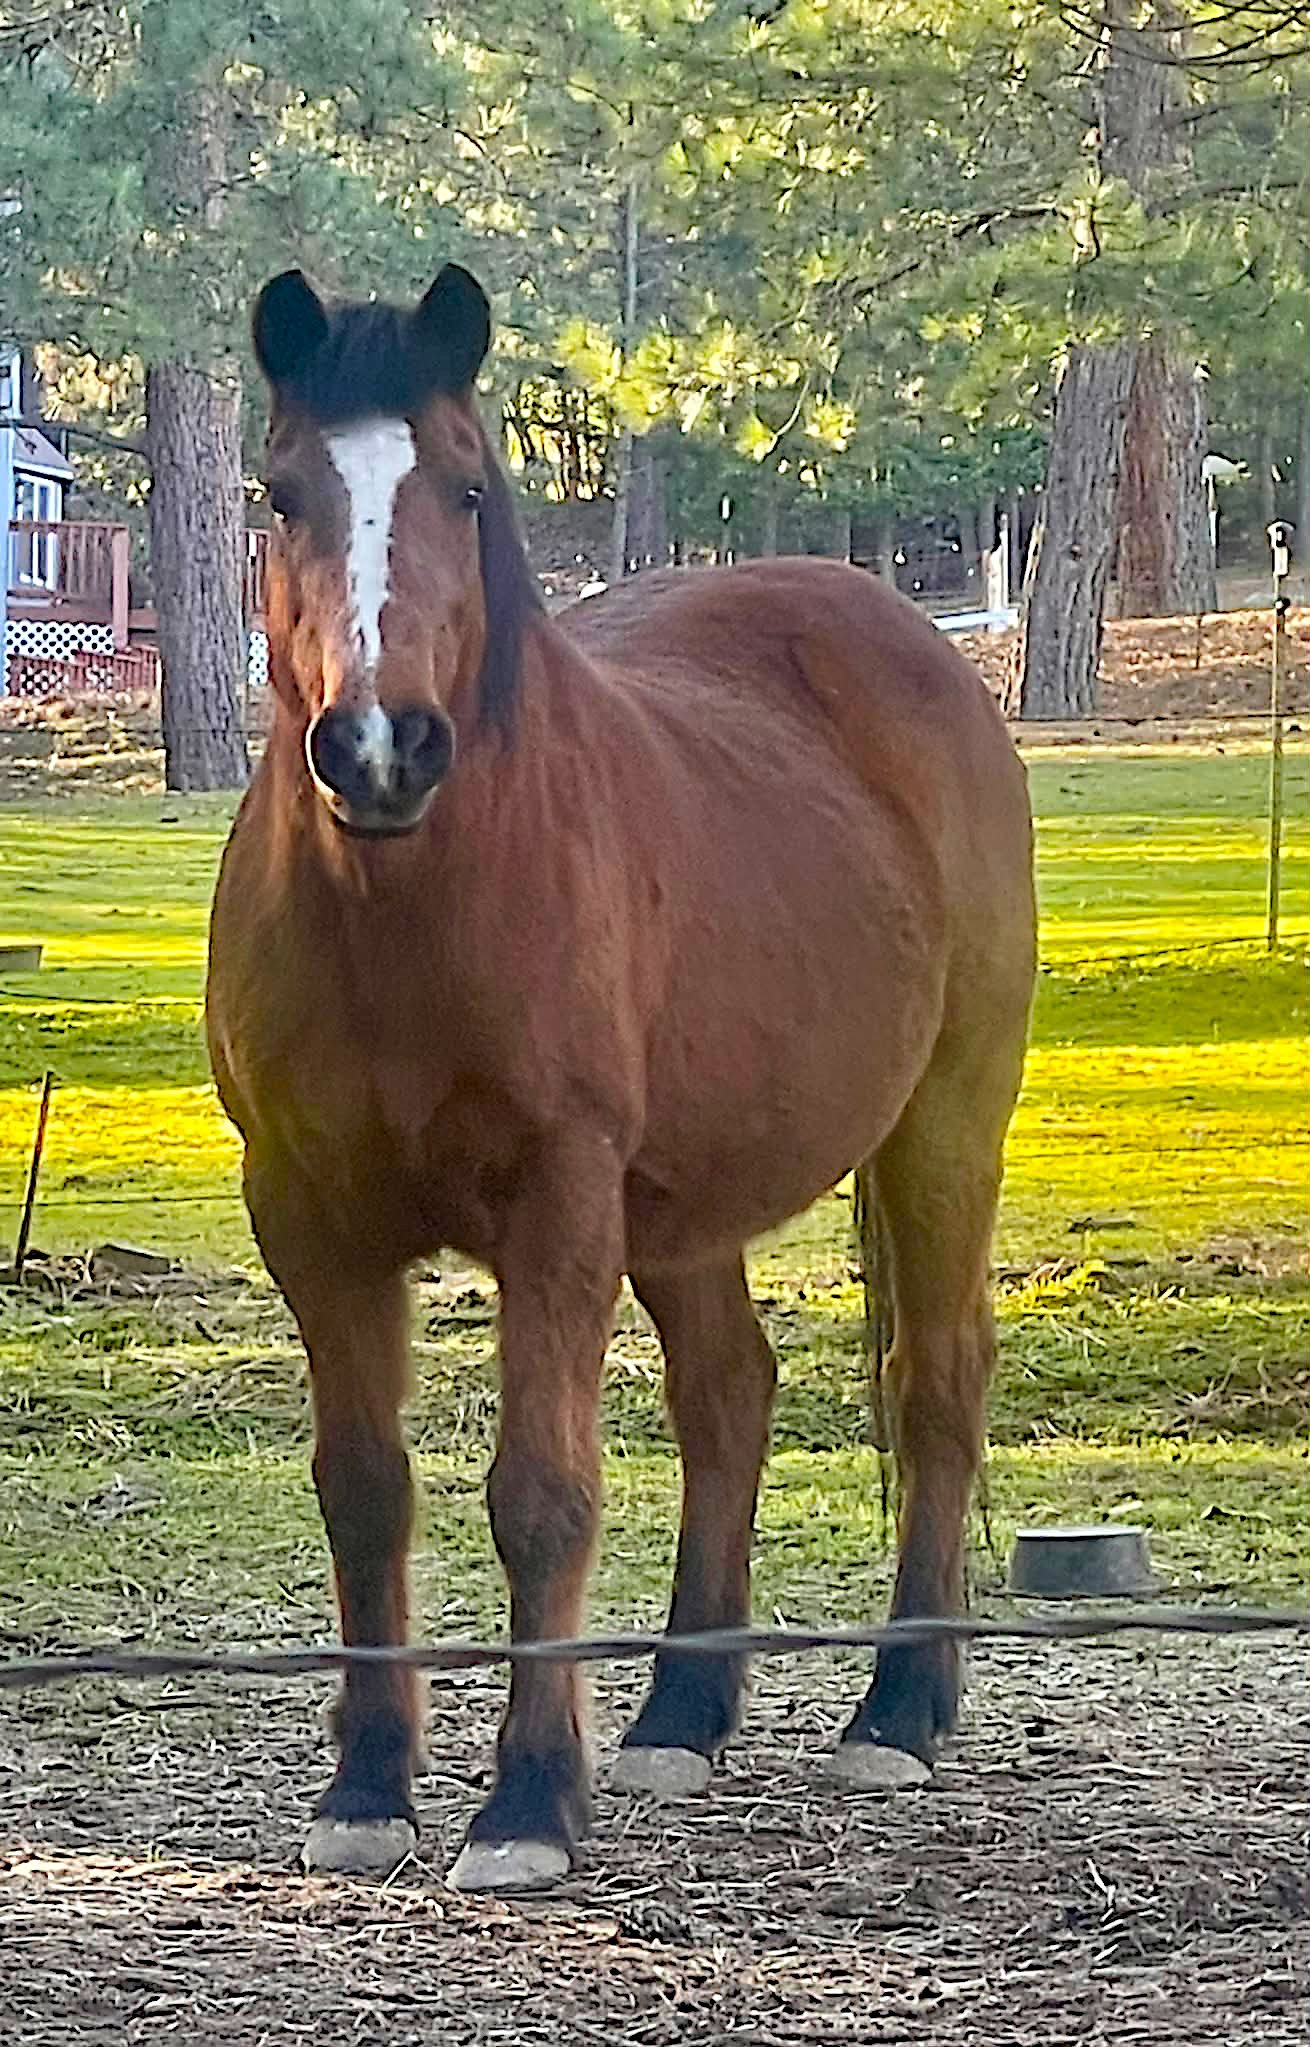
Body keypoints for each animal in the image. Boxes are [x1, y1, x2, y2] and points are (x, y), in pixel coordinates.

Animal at [206, 262, 1036, 1894]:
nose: (380, 748)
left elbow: (540, 1495)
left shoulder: (558, 1204)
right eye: (280, 494)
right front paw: (366, 1787)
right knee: (731, 1393)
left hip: (939, 1131)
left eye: (467, 486)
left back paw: (897, 1709)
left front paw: (527, 1799)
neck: (403, 905)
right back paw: (676, 1714)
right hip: (687, 1203)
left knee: (934, 1383)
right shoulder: (310, 1219)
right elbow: (364, 1489)